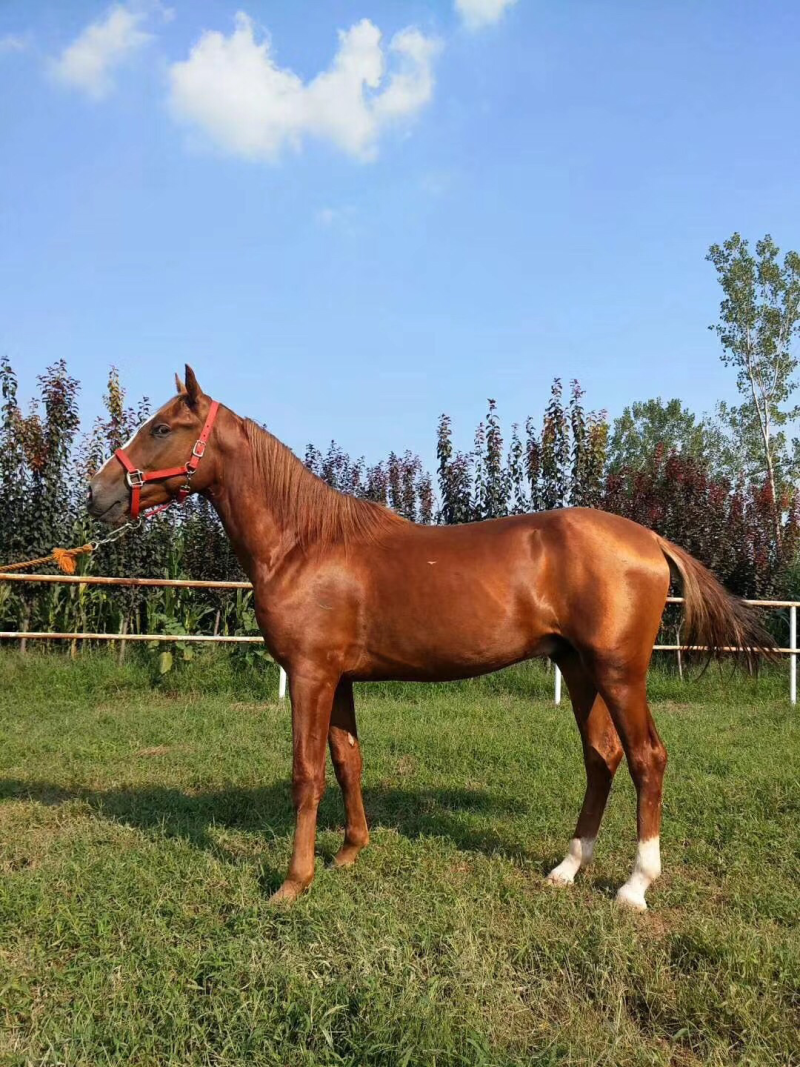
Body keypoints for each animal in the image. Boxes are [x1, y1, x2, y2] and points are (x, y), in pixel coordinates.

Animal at [87, 366, 774, 910]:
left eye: (162, 428)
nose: (98, 494)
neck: (305, 542)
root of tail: (648, 539)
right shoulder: (338, 678)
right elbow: (348, 760)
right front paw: (349, 853)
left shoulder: (310, 675)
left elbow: (306, 773)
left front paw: (293, 882)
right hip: (579, 669)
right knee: (601, 758)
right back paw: (567, 868)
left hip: (619, 671)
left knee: (645, 758)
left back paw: (634, 887)